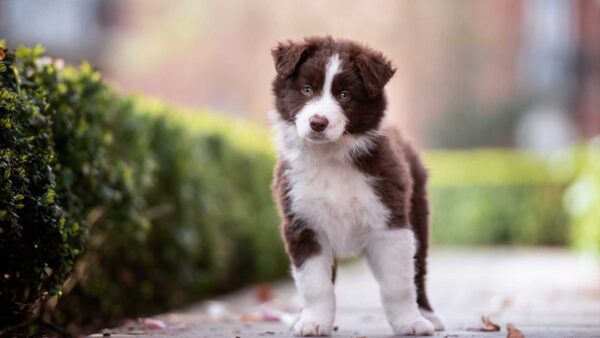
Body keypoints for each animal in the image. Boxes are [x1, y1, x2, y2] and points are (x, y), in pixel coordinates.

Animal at [270, 35, 442, 336]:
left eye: (345, 95)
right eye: (306, 89)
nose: (318, 123)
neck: (330, 157)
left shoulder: (390, 222)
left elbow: (398, 284)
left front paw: (409, 322)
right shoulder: (302, 225)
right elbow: (315, 284)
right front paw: (313, 322)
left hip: (418, 211)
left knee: (419, 270)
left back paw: (427, 314)